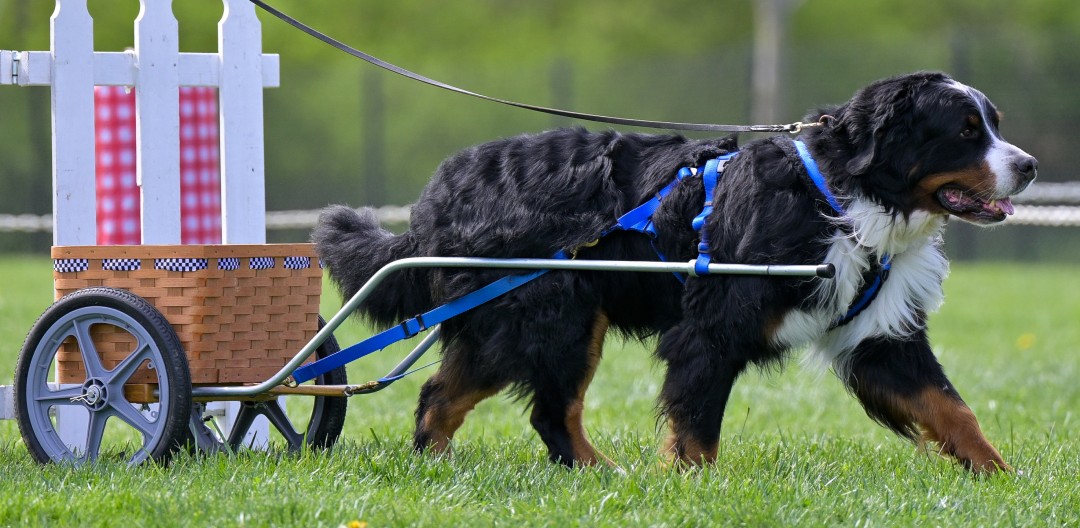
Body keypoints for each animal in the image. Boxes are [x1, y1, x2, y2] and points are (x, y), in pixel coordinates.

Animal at [314, 71, 1036, 473]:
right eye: (964, 130)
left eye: (994, 123)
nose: (1028, 165)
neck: (839, 197)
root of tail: (438, 192)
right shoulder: (711, 330)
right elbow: (697, 425)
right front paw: (693, 486)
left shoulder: (881, 337)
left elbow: (951, 410)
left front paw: (1003, 478)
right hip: (548, 320)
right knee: (514, 404)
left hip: (541, 321)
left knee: (481, 400)